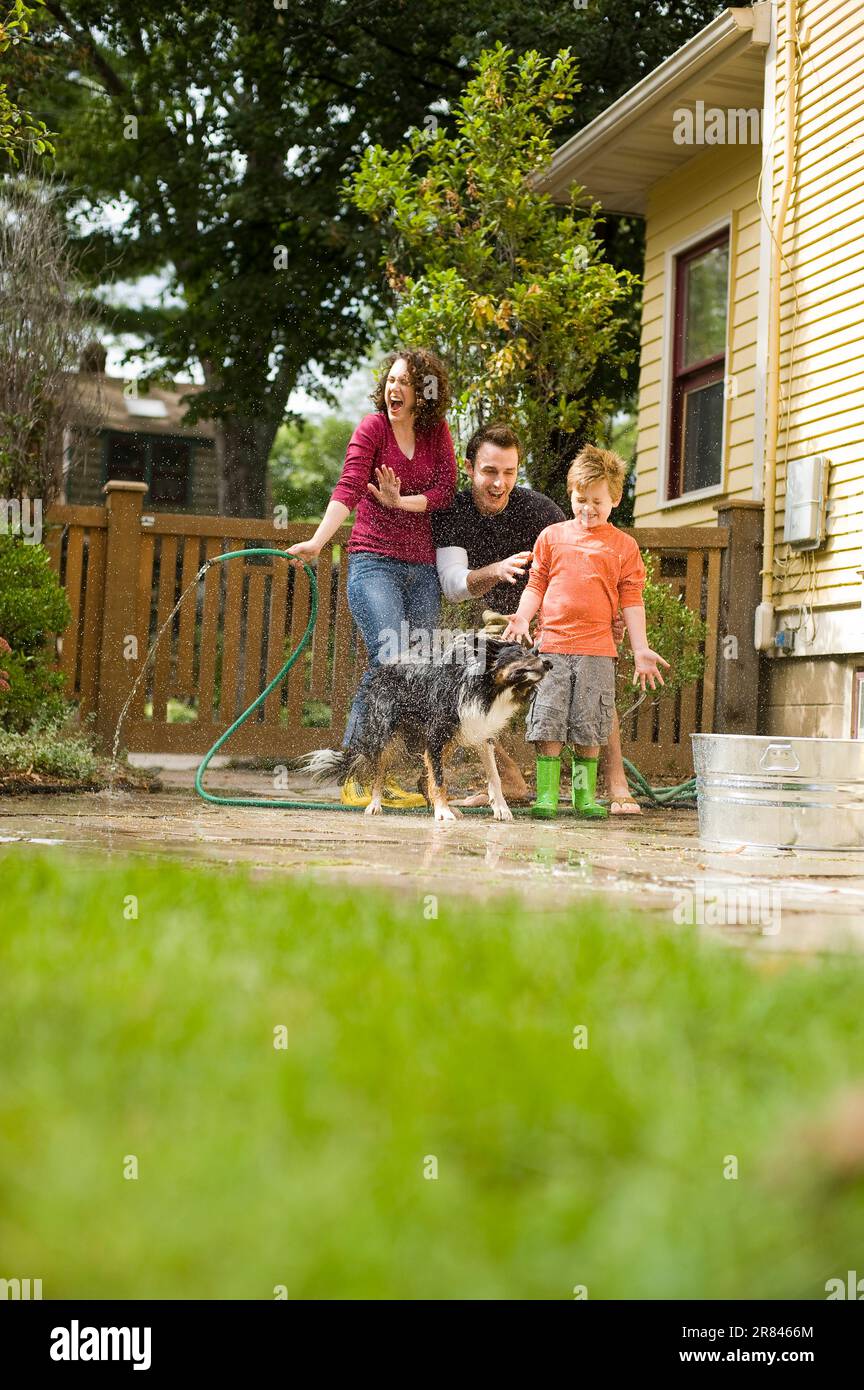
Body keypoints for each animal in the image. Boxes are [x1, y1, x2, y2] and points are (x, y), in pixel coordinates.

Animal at [301, 636, 552, 817]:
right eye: (520, 653)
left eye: (535, 653)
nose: (549, 663)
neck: (485, 687)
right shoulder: (436, 735)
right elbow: (439, 780)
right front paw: (442, 813)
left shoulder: (481, 733)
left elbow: (494, 777)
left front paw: (501, 808)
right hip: (388, 736)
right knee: (379, 772)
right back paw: (375, 804)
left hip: (446, 742)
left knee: (423, 778)